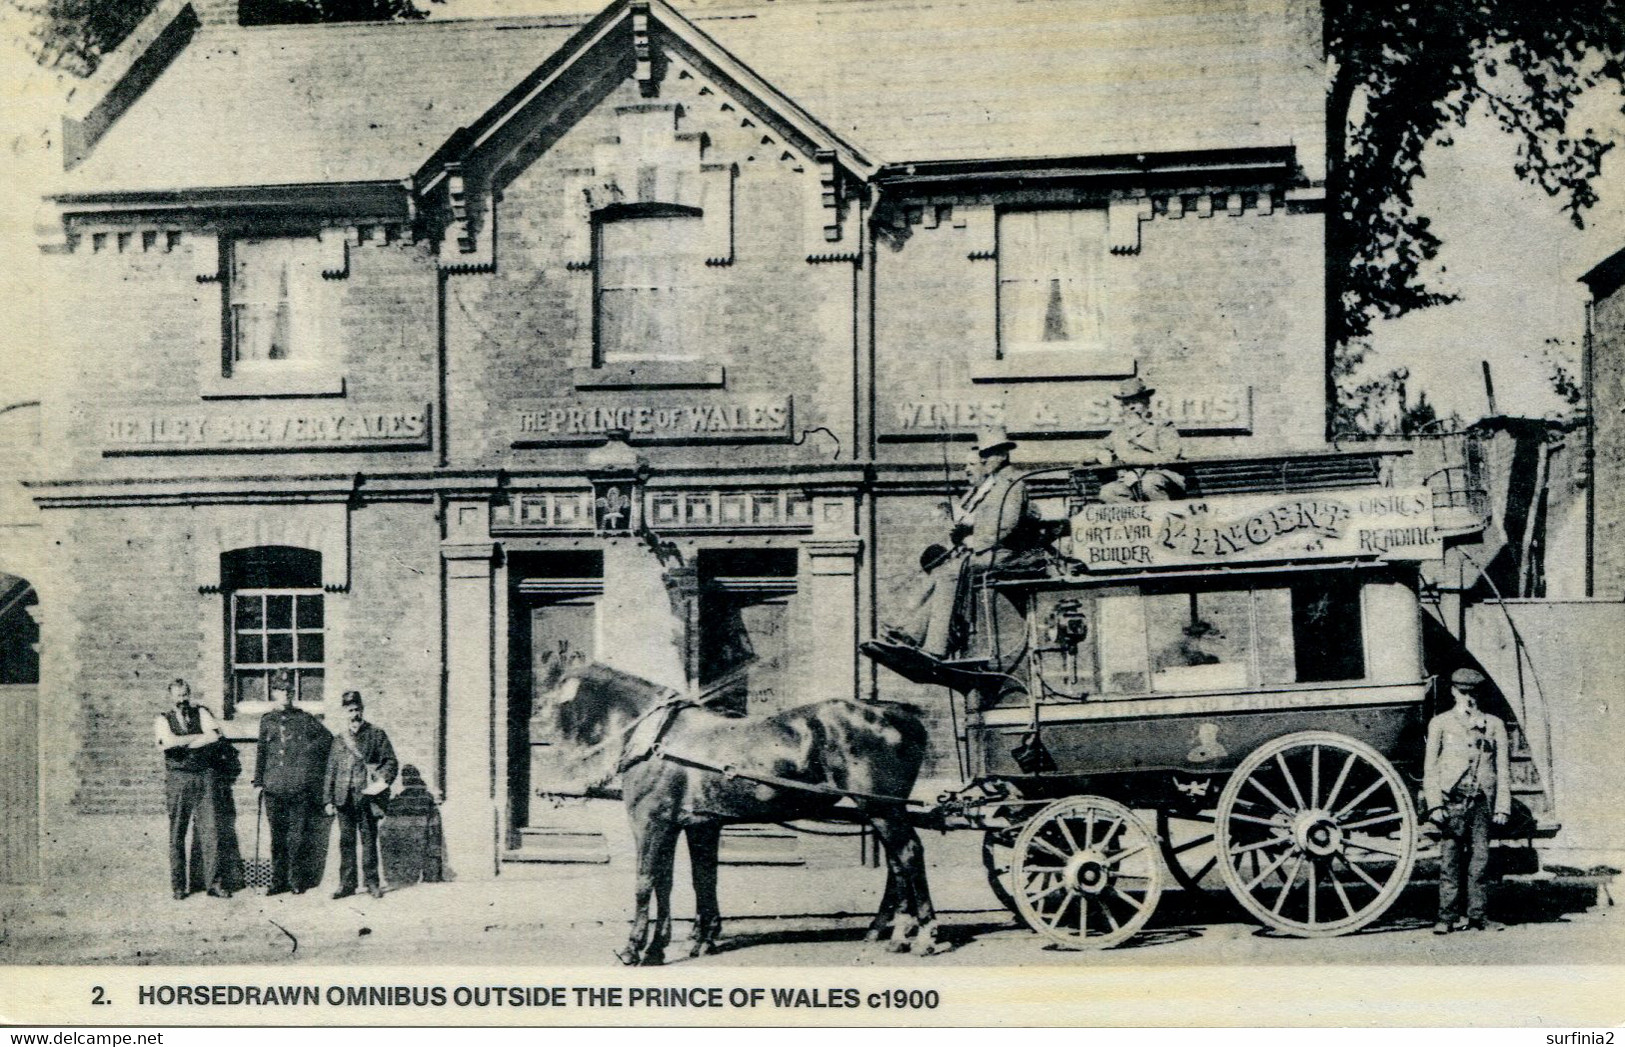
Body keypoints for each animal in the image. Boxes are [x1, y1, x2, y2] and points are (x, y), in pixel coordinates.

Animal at [549, 663, 949, 962]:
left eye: (554, 703)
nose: (557, 772)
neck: (659, 740)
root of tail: (895, 712)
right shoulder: (694, 824)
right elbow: (693, 879)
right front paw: (689, 941)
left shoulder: (651, 823)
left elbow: (646, 882)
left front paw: (635, 949)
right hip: (883, 810)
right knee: (897, 863)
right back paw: (895, 932)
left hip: (882, 807)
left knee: (909, 854)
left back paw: (926, 935)